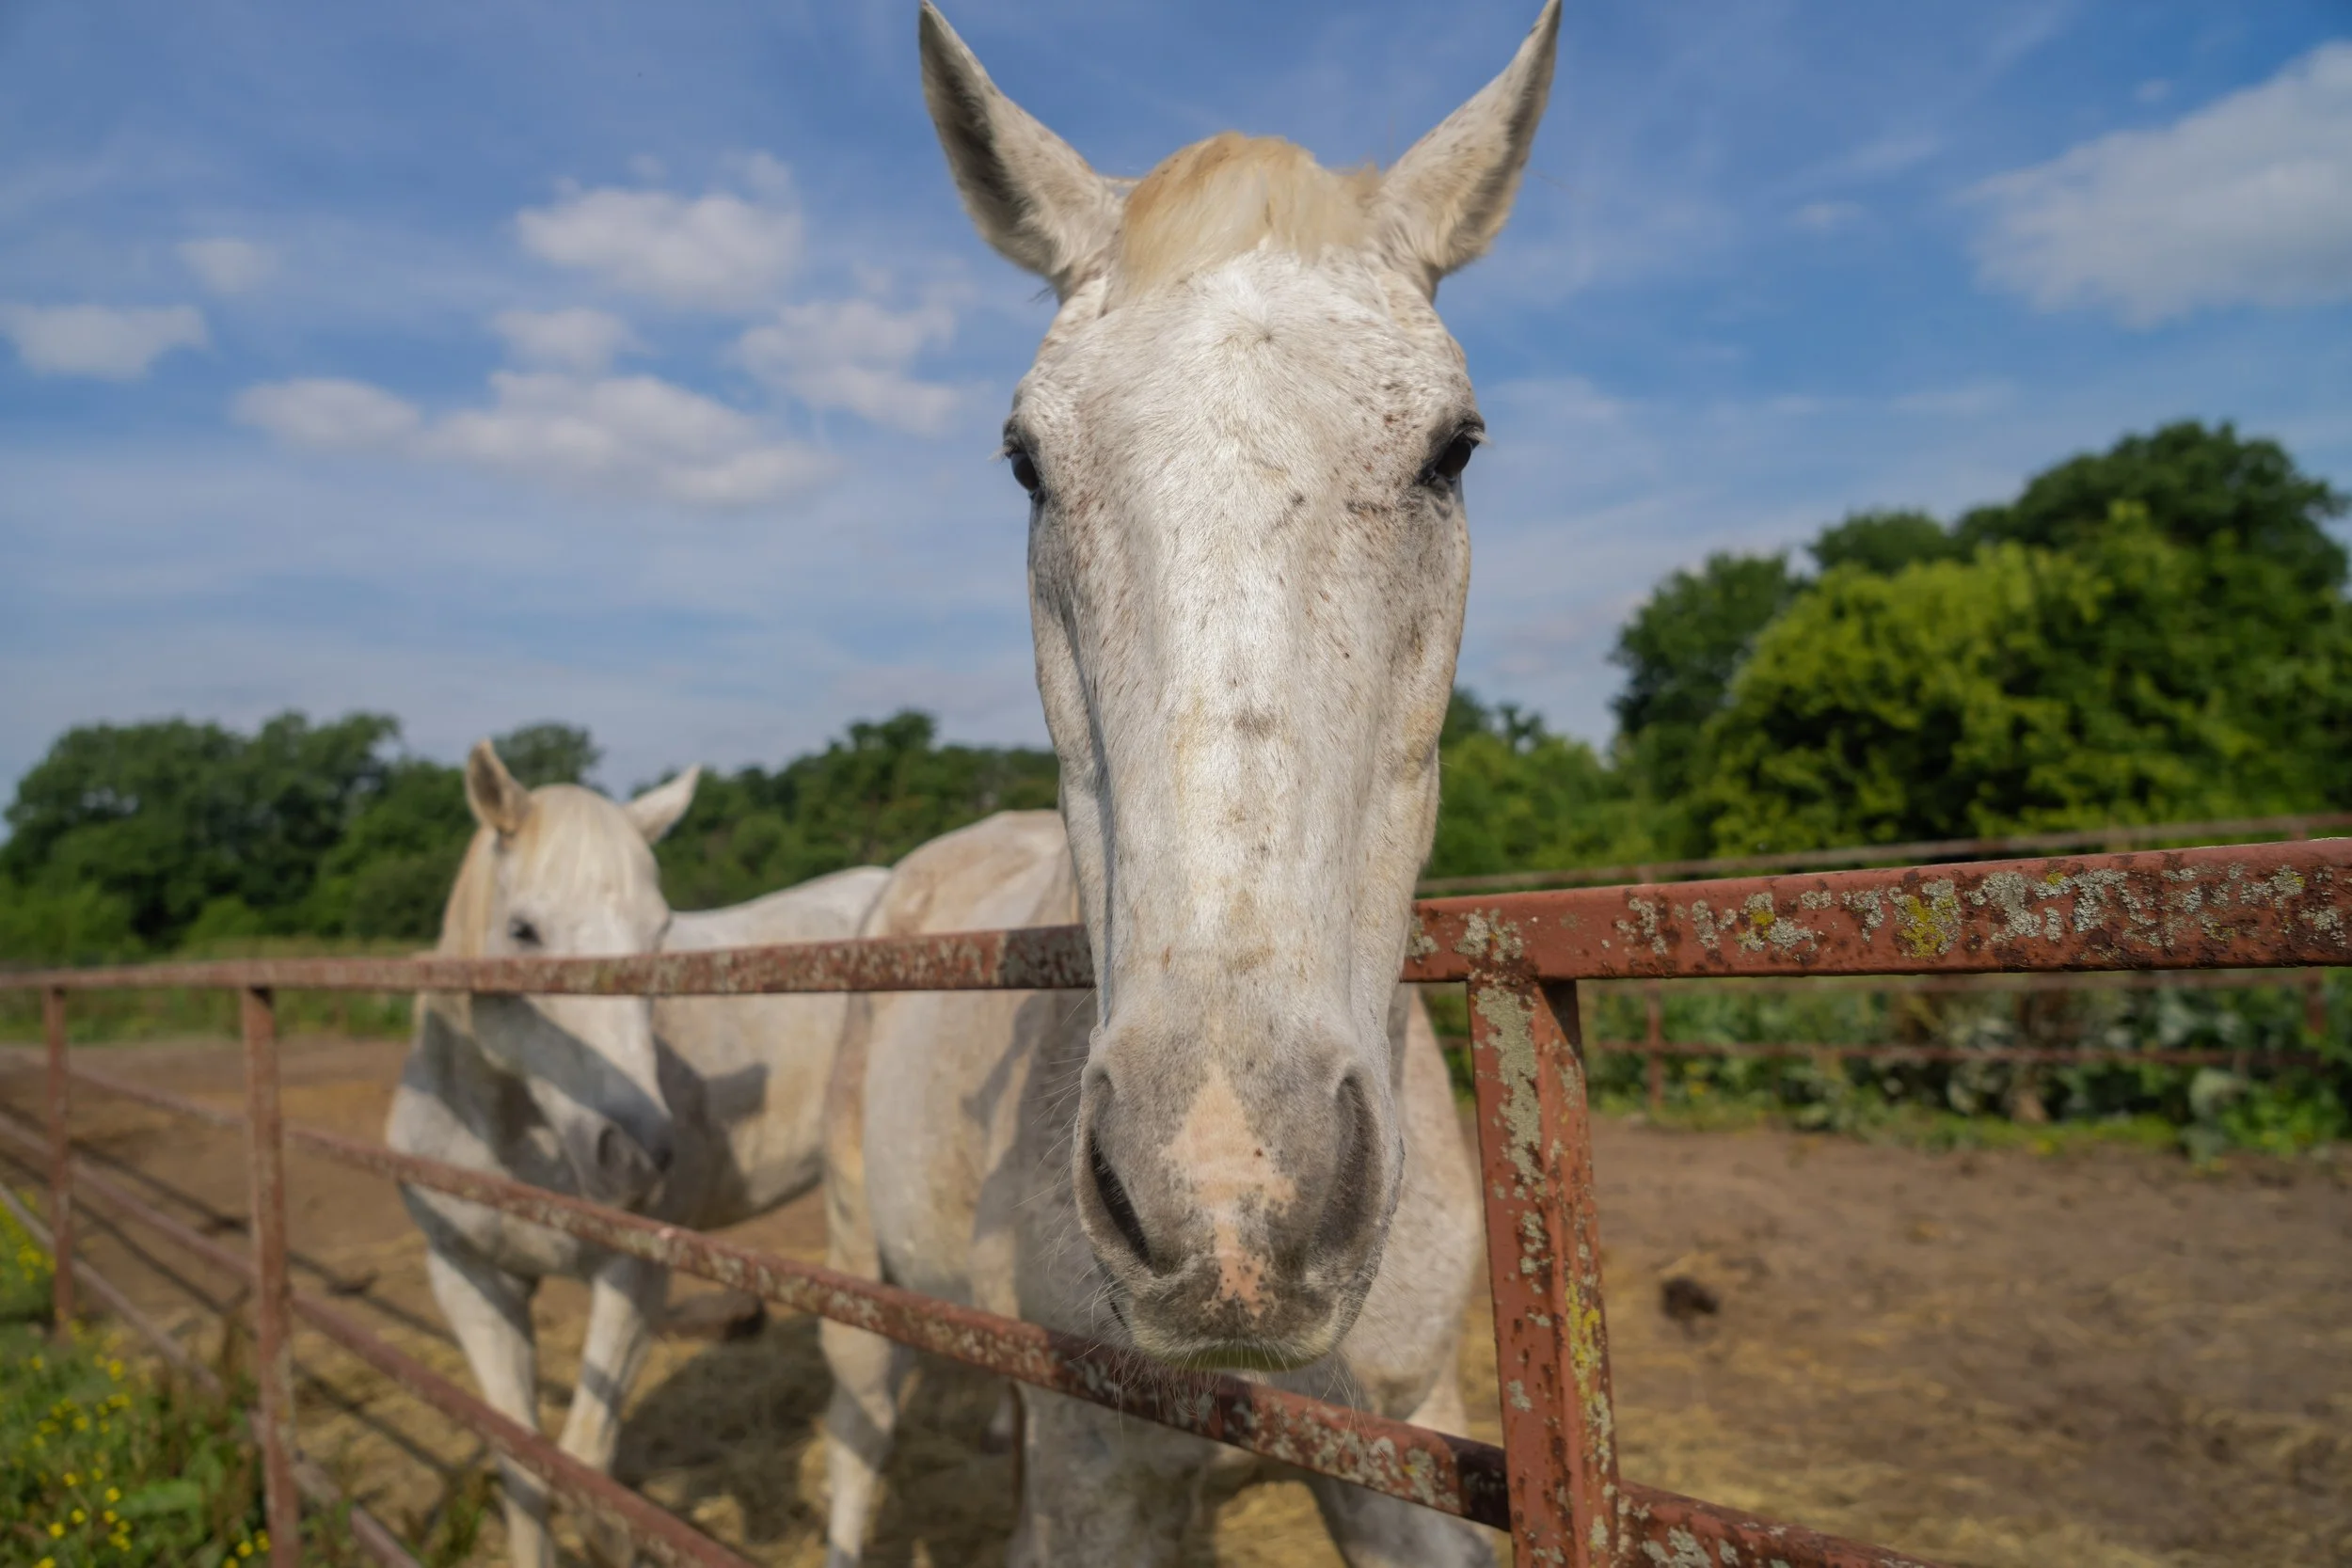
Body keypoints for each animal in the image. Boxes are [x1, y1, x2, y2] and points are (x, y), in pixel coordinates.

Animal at [387, 740, 888, 1568]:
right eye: (523, 930)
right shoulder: (469, 1277)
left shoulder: (633, 1277)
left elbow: (586, 1461)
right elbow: (522, 1462)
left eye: (658, 936)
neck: (503, 1133)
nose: (638, 1154)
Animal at [820, 3, 1560, 1557]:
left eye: (1453, 447)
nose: (1227, 1194)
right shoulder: (1102, 1474)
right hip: (856, 1281)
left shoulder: (1401, 1446)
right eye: (1025, 460)